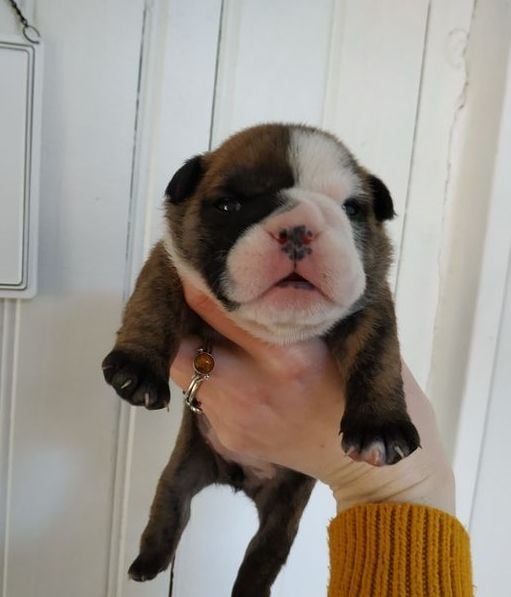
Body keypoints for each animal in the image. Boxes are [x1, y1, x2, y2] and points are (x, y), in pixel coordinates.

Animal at [102, 123, 420, 596]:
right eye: (228, 205)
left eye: (351, 209)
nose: (299, 229)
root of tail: (239, 478)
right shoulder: (170, 264)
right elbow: (154, 302)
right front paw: (137, 368)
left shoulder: (372, 302)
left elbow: (378, 356)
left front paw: (380, 426)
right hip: (181, 472)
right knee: (170, 510)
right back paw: (147, 562)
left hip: (285, 508)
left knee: (265, 551)